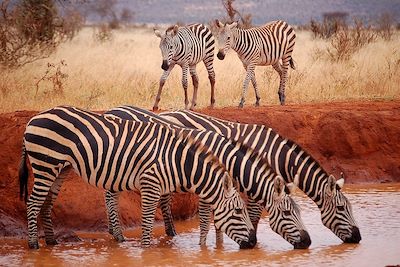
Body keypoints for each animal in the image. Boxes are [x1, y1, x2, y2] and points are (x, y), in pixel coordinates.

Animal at [18, 105, 256, 250]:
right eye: (238, 211)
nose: (253, 243)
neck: (176, 160)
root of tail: (33, 119)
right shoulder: (150, 184)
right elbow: (148, 220)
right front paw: (146, 249)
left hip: (60, 167)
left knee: (46, 202)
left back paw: (51, 242)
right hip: (45, 164)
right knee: (33, 203)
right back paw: (33, 244)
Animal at [104, 105, 310, 250]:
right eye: (288, 213)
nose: (307, 242)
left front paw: (219, 247)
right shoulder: (210, 185)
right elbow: (209, 218)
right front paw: (204, 248)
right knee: (111, 194)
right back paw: (119, 234)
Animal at [159, 110, 362, 245]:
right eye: (342, 208)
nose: (358, 238)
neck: (278, 156)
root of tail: (167, 112)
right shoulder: (256, 185)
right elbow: (254, 217)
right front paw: (253, 242)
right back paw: (172, 234)